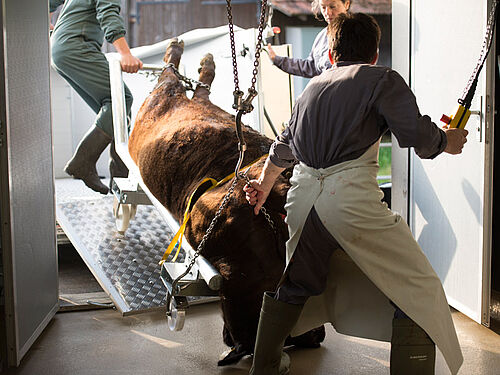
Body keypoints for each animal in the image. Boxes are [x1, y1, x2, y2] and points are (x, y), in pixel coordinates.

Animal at [129, 39, 324, 366]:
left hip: (175, 106)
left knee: (195, 88)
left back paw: (198, 59)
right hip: (158, 104)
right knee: (171, 79)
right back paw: (180, 51)